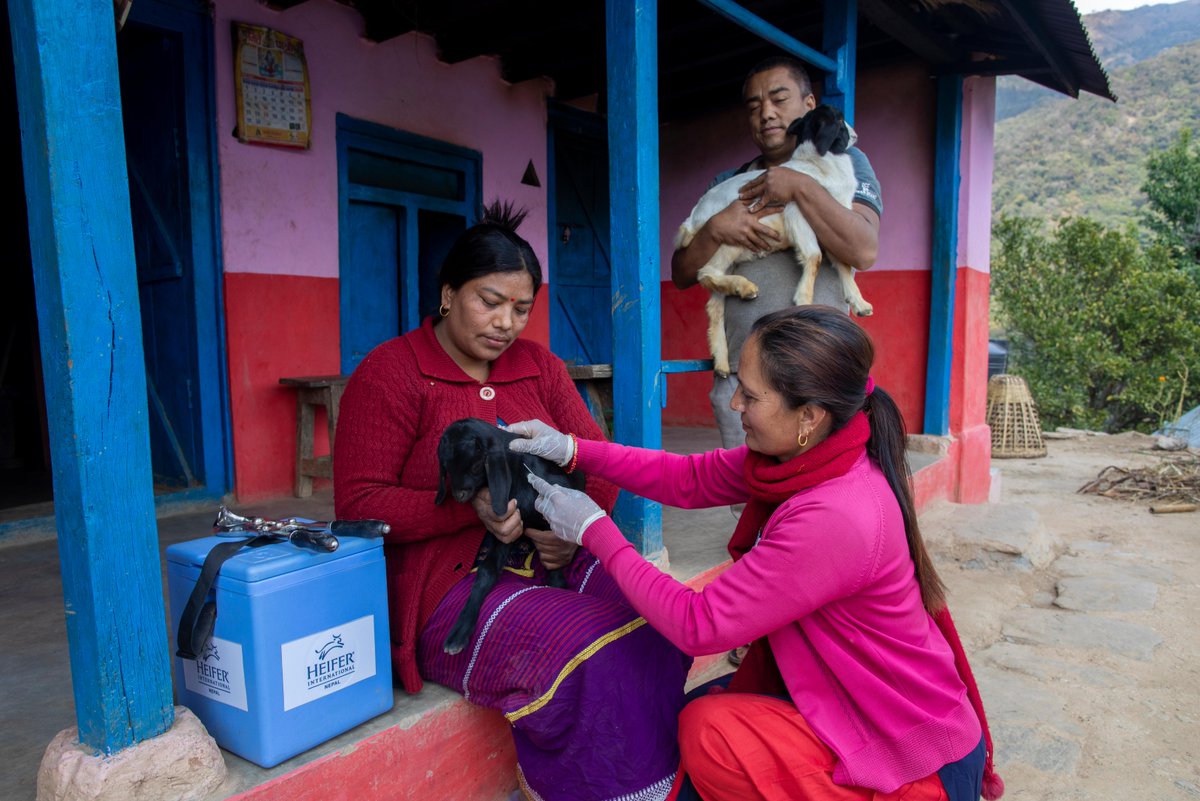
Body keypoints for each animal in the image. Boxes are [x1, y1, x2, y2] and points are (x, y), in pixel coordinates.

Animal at [676, 104, 873, 378]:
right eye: (840, 121)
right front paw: (803, 301)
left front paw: (860, 304)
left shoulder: (828, 226)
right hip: (730, 238)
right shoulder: (797, 213)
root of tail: (692, 220)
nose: (855, 136)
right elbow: (814, 256)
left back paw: (722, 361)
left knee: (714, 305)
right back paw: (746, 288)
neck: (815, 165)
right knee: (705, 273)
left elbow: (843, 264)